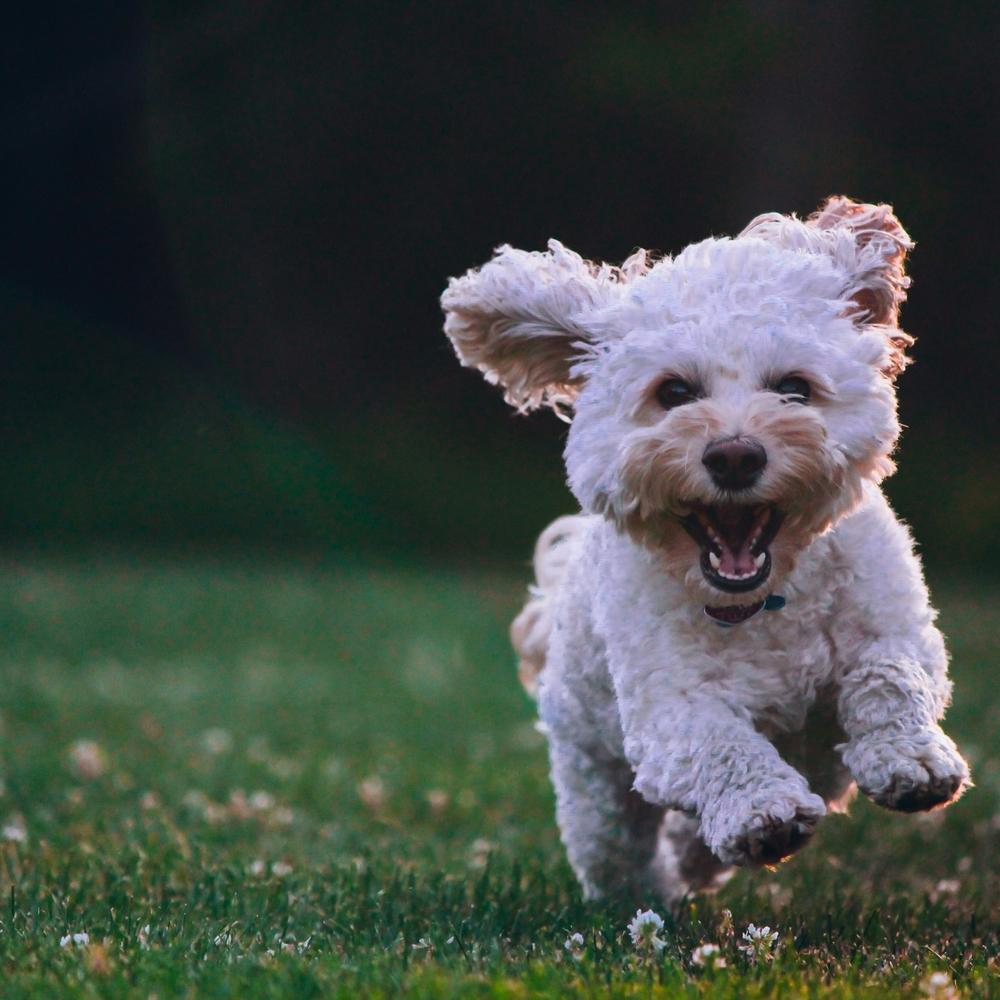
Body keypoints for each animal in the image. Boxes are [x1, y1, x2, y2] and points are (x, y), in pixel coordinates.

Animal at [440, 197, 968, 908]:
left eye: (794, 388)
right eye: (673, 393)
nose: (736, 455)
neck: (764, 602)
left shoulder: (893, 624)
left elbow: (890, 675)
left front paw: (911, 759)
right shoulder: (669, 708)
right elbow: (719, 743)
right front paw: (761, 813)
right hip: (592, 776)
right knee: (615, 846)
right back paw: (652, 891)